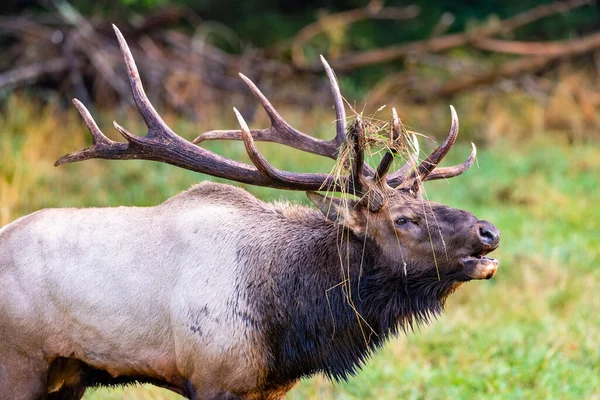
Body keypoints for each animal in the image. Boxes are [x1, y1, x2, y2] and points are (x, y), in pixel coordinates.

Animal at [0, 26, 500, 398]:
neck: (291, 321)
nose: (488, 231)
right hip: (21, 364)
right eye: (403, 220)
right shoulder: (212, 376)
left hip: (67, 376)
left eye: (423, 202)